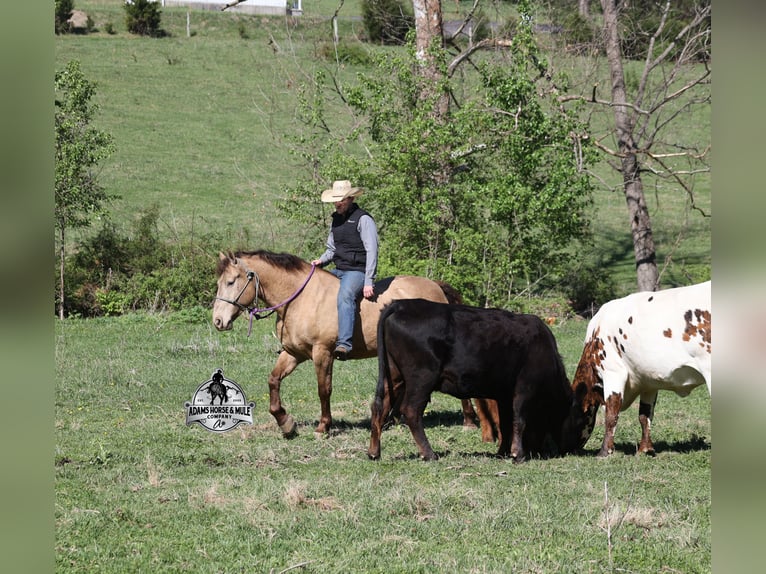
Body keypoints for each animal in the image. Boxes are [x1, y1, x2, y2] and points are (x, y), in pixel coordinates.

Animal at [212, 250, 484, 438]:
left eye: (231, 282)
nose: (218, 321)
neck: (301, 299)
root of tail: (436, 287)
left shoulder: (322, 353)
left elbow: (324, 389)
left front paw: (323, 426)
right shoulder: (293, 353)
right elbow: (273, 380)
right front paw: (286, 423)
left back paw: (468, 420)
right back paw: (393, 419)